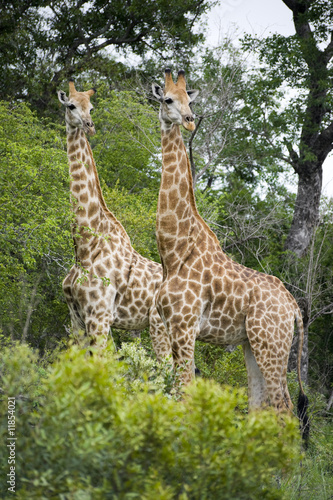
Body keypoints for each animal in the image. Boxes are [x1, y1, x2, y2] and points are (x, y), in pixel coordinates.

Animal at [56, 80, 171, 358]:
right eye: (71, 105)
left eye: (92, 108)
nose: (89, 125)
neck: (85, 247)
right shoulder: (77, 319)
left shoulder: (99, 316)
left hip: (159, 327)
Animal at [152, 68, 308, 424]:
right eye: (167, 99)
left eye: (190, 101)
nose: (189, 121)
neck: (174, 250)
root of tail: (293, 306)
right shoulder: (168, 325)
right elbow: (173, 390)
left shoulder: (184, 326)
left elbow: (183, 392)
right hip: (252, 344)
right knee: (260, 404)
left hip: (270, 343)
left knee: (284, 407)